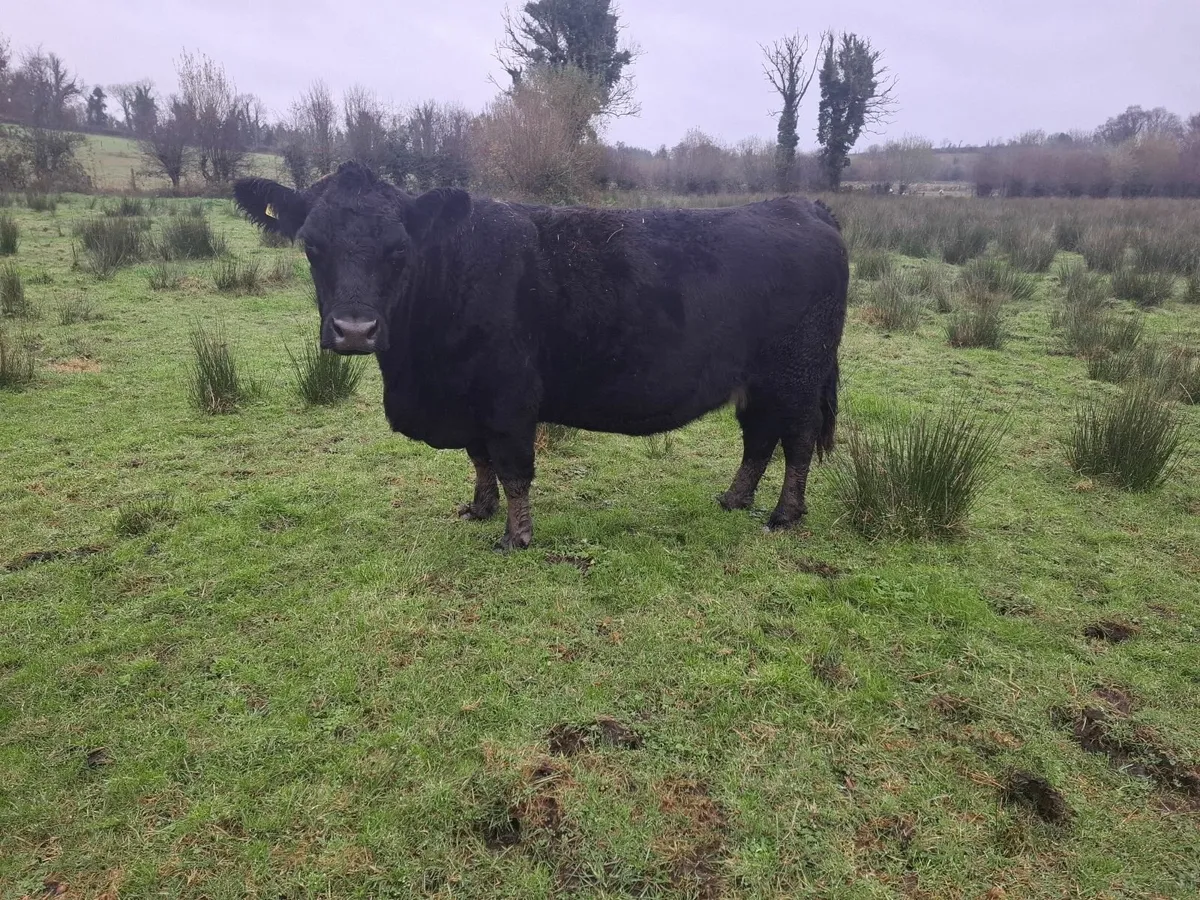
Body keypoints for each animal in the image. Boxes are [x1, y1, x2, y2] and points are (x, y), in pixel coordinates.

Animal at [233, 162, 849, 551]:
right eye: (312, 246)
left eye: (398, 250)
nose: (355, 330)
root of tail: (803, 207)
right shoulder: (469, 400)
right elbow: (479, 459)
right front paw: (477, 508)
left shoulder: (507, 396)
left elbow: (512, 468)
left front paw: (515, 536)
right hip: (759, 382)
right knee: (759, 438)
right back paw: (734, 499)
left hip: (797, 375)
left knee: (795, 441)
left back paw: (783, 515)